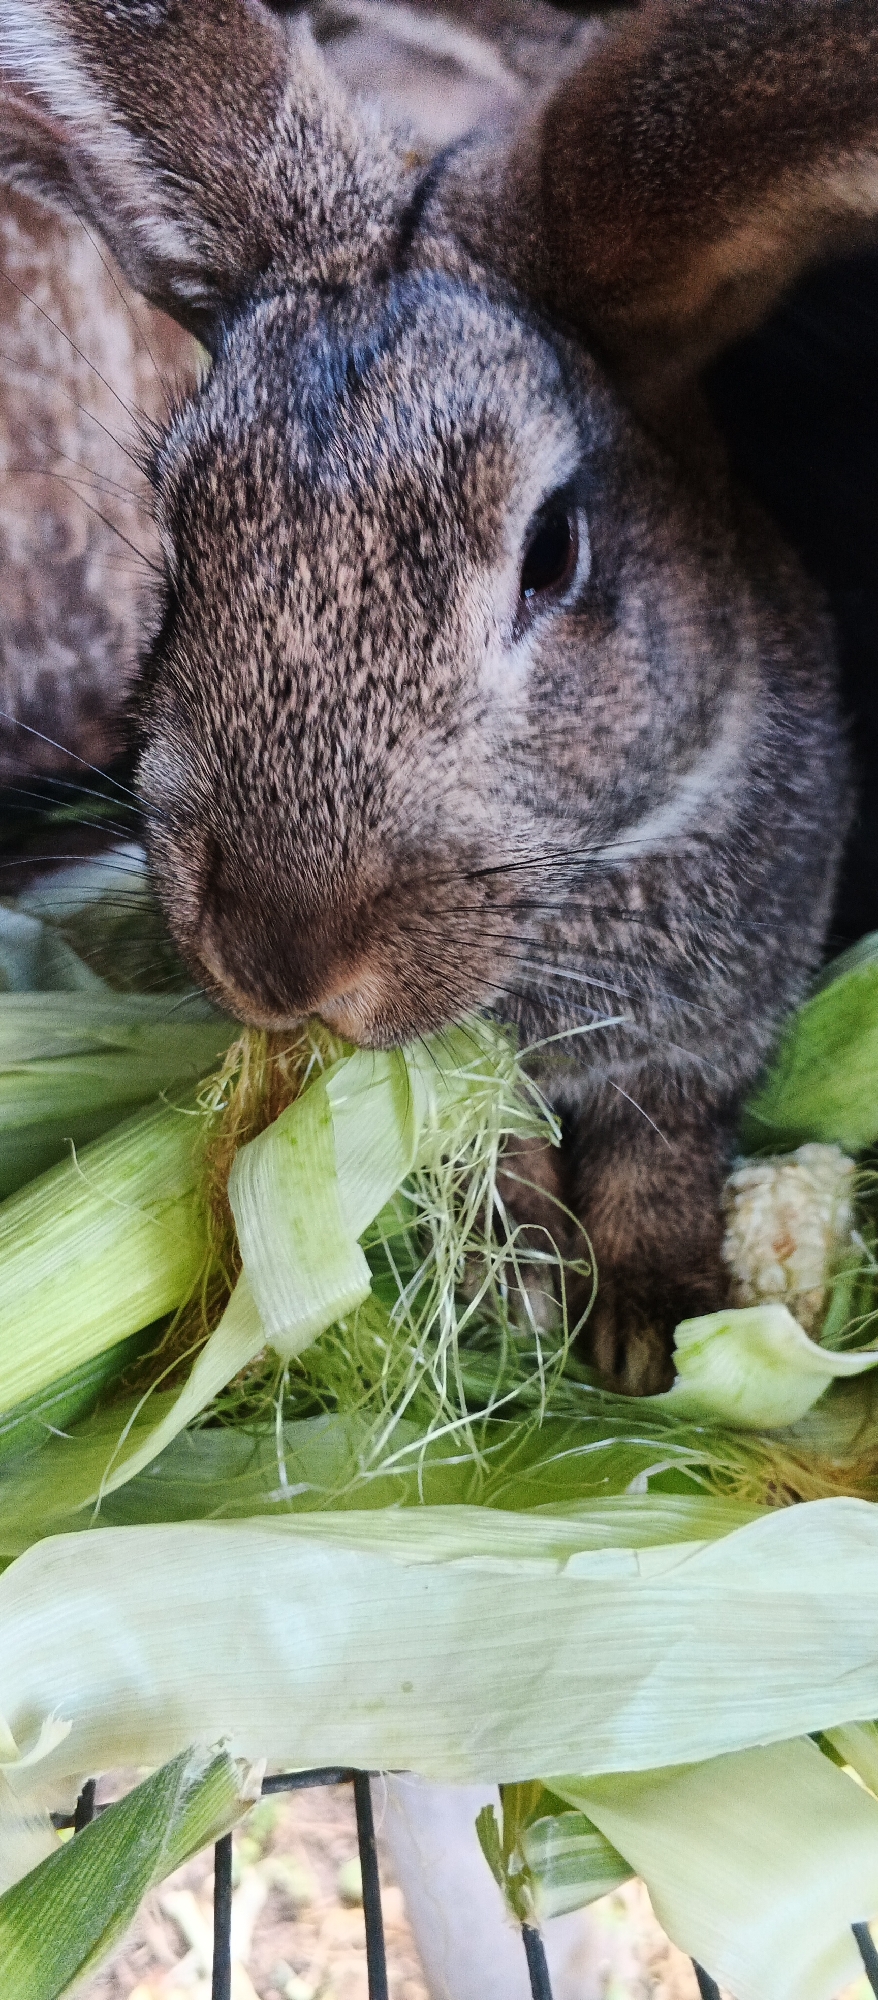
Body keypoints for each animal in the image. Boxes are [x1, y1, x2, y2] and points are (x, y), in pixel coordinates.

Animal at [1, 0, 877, 1395]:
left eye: (553, 553)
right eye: (181, 541)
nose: (279, 959)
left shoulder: (698, 1045)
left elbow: (659, 1154)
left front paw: (651, 1332)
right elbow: (497, 1155)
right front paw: (519, 1296)